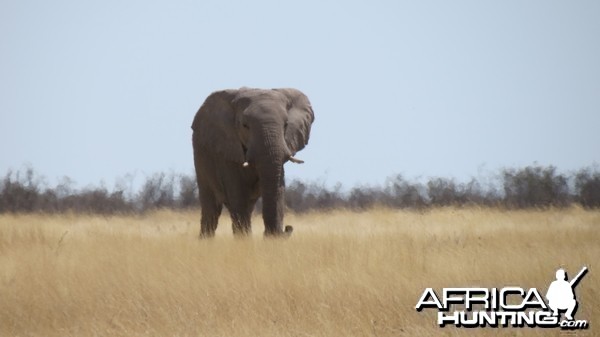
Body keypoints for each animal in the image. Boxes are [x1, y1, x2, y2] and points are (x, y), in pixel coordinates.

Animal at [191, 88, 314, 238]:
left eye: (286, 125)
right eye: (245, 126)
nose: (288, 227)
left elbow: (279, 189)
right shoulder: (227, 150)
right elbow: (237, 193)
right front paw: (245, 241)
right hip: (201, 157)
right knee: (212, 208)